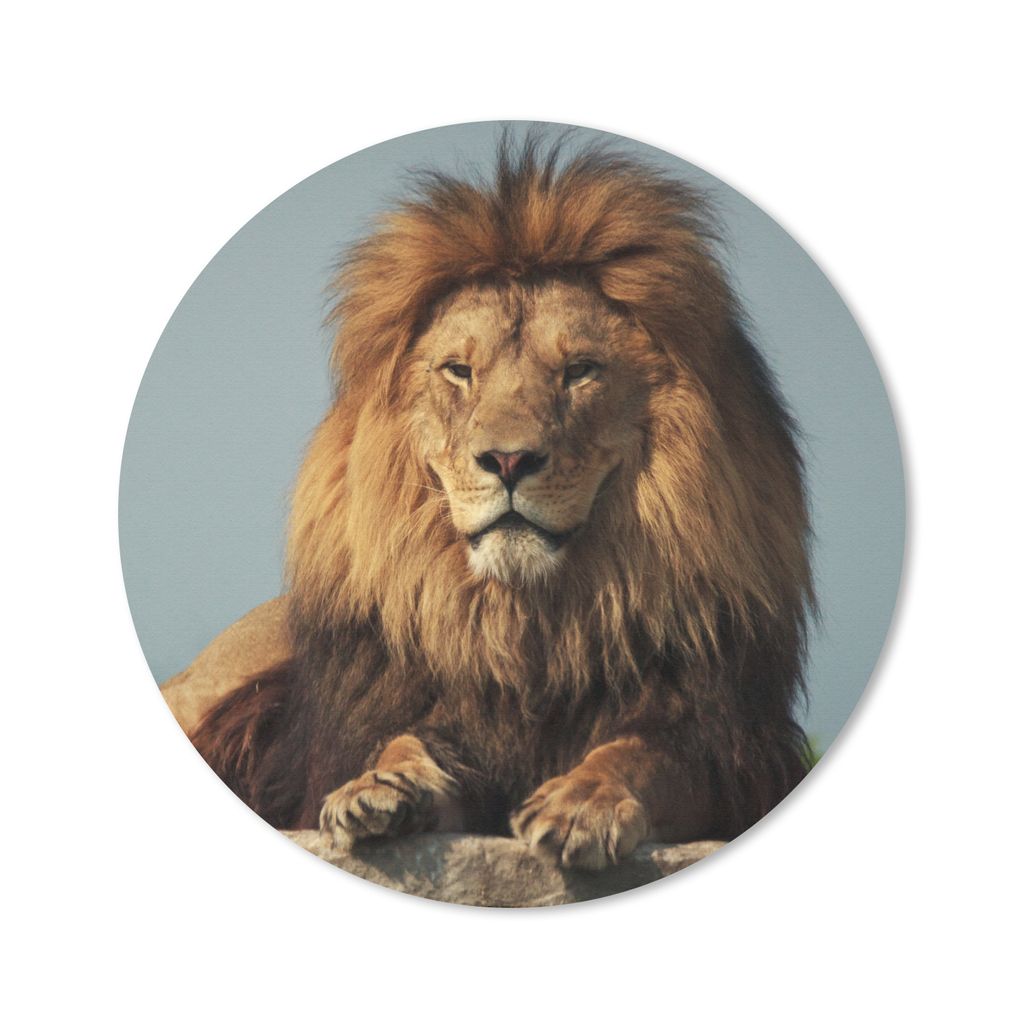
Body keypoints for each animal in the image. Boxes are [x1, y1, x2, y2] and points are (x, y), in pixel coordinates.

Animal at [187, 136, 814, 871]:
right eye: (460, 371)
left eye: (579, 372)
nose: (509, 461)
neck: (527, 624)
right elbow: (408, 741)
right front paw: (379, 787)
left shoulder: (730, 753)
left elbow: (643, 754)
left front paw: (582, 804)